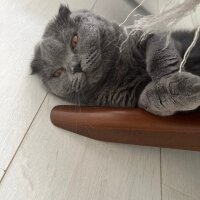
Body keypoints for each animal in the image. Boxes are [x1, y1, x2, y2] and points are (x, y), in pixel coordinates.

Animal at [30, 5, 200, 115]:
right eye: (57, 73)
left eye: (74, 40)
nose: (75, 66)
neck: (117, 68)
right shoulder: (134, 97)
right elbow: (150, 100)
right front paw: (188, 88)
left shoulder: (151, 31)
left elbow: (160, 56)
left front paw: (168, 76)